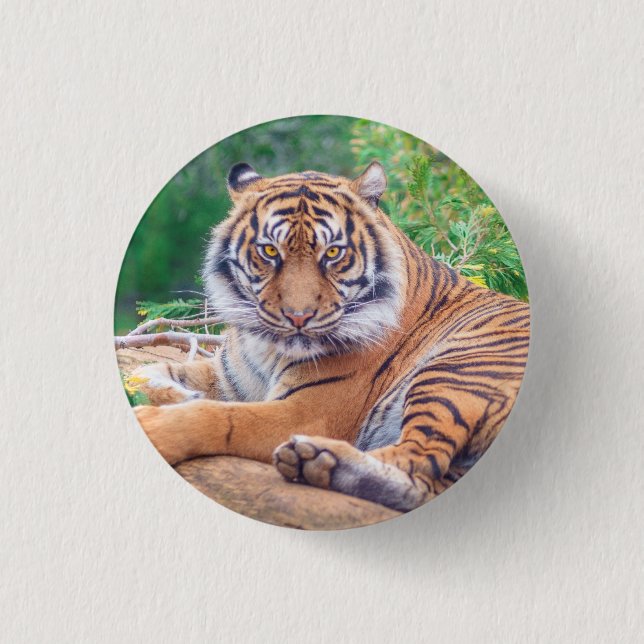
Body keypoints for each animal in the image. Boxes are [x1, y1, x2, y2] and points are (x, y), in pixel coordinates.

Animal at [131, 161, 530, 513]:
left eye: (333, 253)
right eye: (270, 250)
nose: (298, 317)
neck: (266, 348)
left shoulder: (306, 413)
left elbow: (219, 417)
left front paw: (155, 424)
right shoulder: (227, 377)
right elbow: (149, 373)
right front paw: (176, 393)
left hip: (457, 370)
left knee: (418, 462)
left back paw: (321, 459)